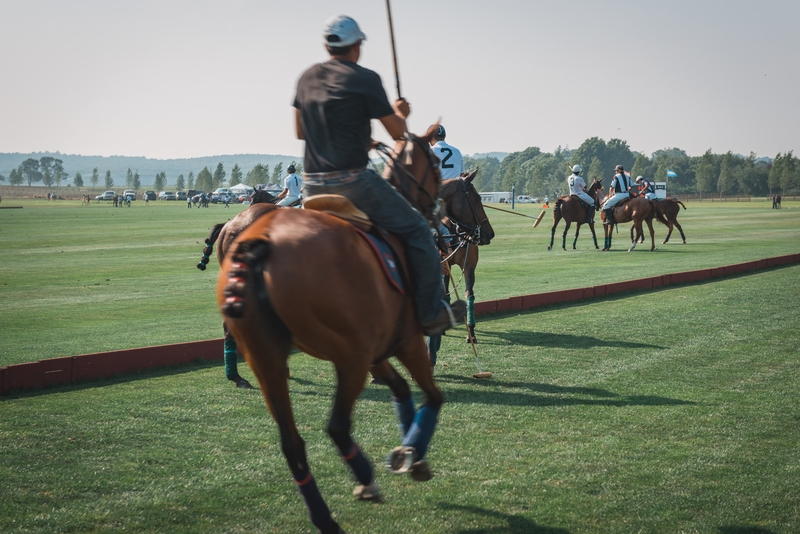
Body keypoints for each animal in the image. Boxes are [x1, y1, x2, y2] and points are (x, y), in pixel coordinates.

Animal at [216, 130, 446, 534]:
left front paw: (407, 450)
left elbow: (402, 390)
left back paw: (326, 517)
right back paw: (366, 481)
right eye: (436, 164)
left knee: (293, 443)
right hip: (349, 356)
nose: (439, 211)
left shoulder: (377, 352)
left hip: (268, 358)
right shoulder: (406, 342)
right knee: (337, 427)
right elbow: (432, 395)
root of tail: (260, 243)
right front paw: (414, 454)